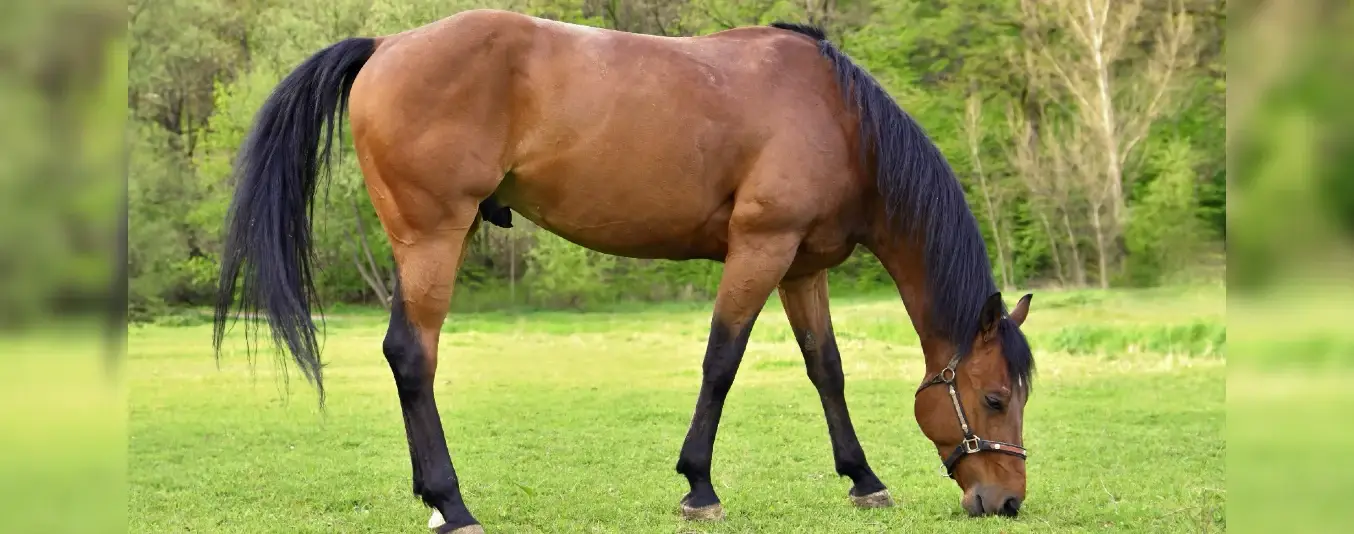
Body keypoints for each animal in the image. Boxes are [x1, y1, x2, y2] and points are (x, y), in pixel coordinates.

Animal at [212, 9, 1036, 533]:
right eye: (995, 399)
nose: (1008, 501)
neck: (836, 115)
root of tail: (387, 44)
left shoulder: (802, 268)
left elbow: (824, 369)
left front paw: (863, 479)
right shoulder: (760, 249)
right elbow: (721, 362)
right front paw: (699, 487)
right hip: (433, 237)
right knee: (414, 356)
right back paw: (453, 506)